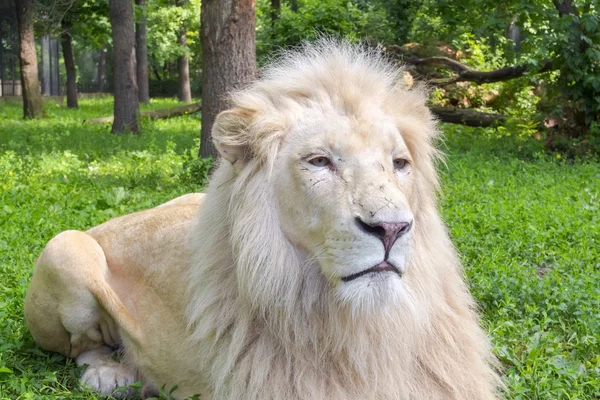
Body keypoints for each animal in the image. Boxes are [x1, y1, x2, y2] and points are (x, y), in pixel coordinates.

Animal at [24, 42, 502, 398]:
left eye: (399, 163)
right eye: (319, 161)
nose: (392, 229)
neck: (367, 329)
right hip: (64, 248)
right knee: (83, 347)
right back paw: (111, 375)